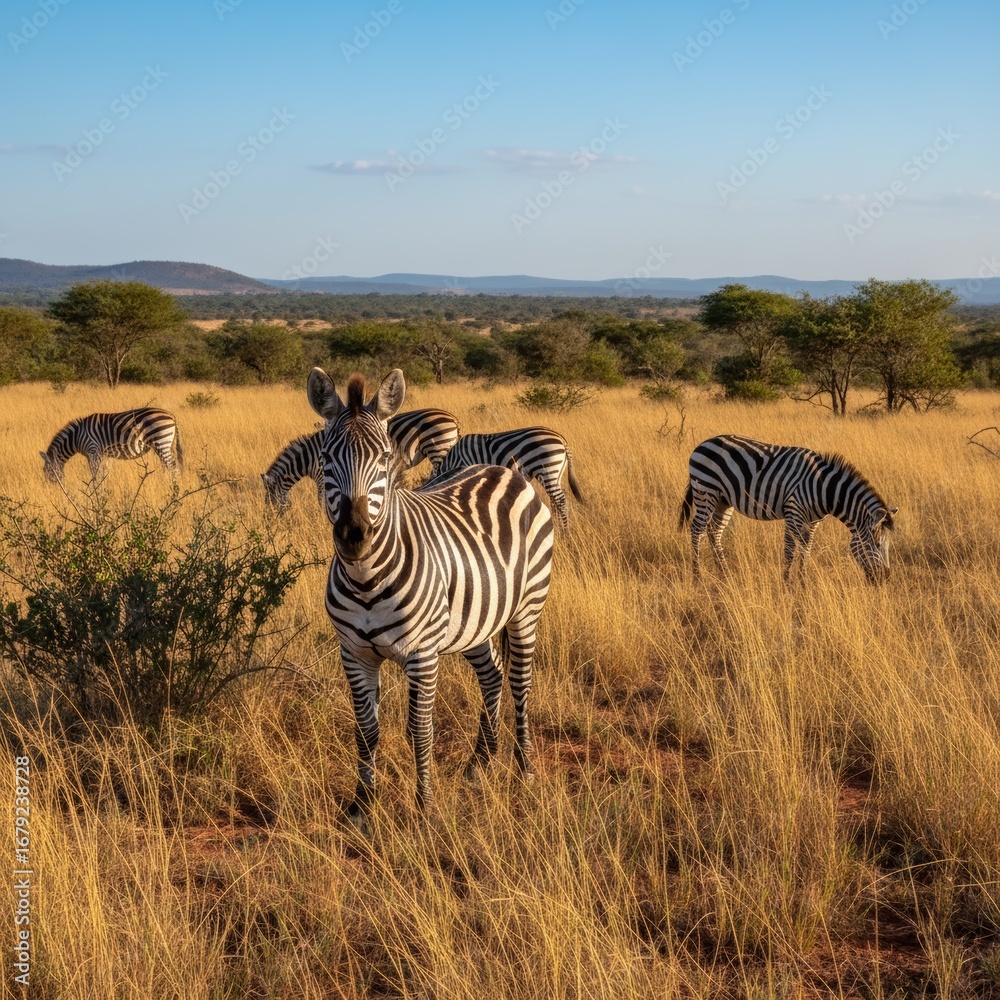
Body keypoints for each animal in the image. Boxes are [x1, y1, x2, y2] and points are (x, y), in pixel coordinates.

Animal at [40, 408, 183, 484]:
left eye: (47, 471)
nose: (51, 490)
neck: (76, 437)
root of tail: (171, 416)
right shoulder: (101, 454)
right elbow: (103, 473)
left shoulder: (93, 450)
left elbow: (95, 474)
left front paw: (96, 492)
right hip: (164, 445)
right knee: (167, 467)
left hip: (161, 442)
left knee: (173, 468)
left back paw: (173, 488)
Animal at [261, 407, 460, 509]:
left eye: (270, 502)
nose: (270, 523)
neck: (309, 456)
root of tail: (453, 419)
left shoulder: (322, 474)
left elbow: (322, 500)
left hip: (437, 448)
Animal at [307, 367, 553, 823]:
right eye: (326, 459)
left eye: (385, 458)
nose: (354, 536)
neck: (365, 578)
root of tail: (504, 469)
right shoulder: (353, 652)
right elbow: (365, 731)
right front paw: (361, 805)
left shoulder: (421, 654)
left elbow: (420, 730)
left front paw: (425, 808)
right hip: (473, 620)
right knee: (492, 675)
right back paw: (480, 763)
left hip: (526, 608)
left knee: (520, 682)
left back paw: (524, 770)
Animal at [432, 427, 584, 527]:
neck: (455, 459)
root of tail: (561, 439)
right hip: (556, 473)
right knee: (555, 501)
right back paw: (558, 529)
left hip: (547, 468)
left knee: (561, 501)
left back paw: (564, 533)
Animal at [679, 434, 897, 584]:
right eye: (877, 543)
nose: (885, 579)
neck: (824, 489)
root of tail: (704, 442)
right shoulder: (793, 513)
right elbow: (790, 550)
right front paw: (786, 584)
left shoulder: (813, 522)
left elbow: (806, 550)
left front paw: (803, 581)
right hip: (706, 491)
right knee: (697, 530)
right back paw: (697, 576)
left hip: (723, 501)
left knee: (714, 532)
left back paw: (723, 573)